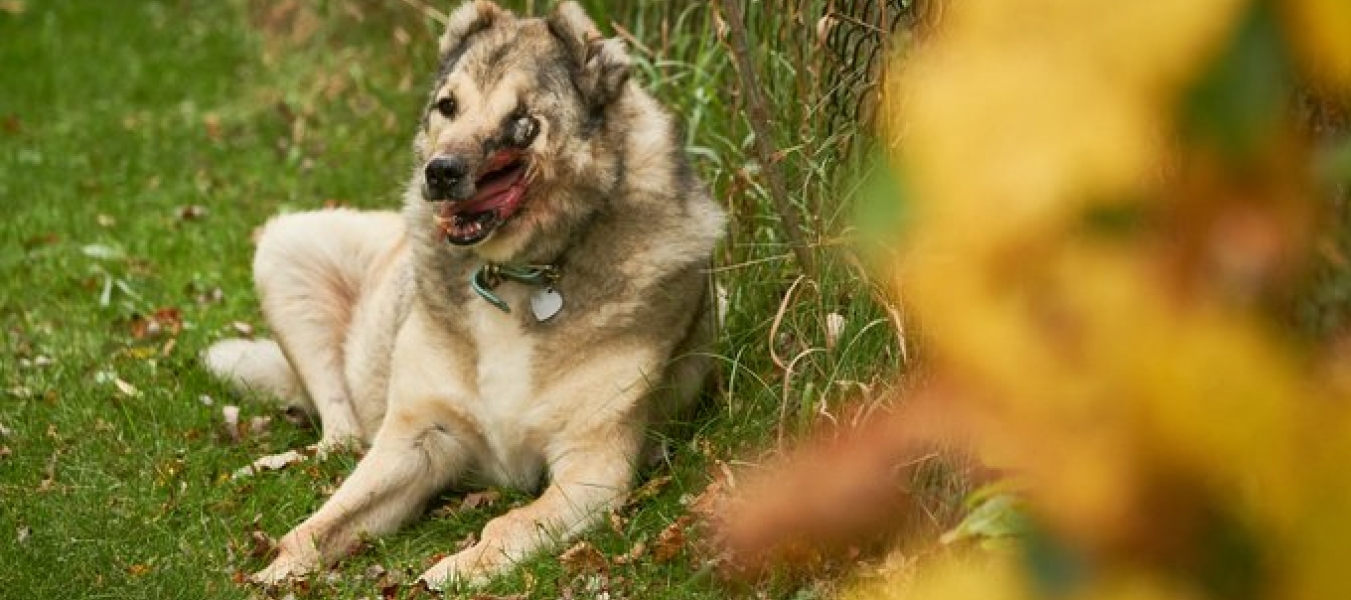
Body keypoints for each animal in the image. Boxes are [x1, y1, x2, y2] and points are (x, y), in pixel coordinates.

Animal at [201, 0, 724, 589]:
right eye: (447, 106)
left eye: (520, 119)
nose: (440, 173)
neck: (514, 275)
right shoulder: (417, 439)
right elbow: (319, 526)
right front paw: (276, 572)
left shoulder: (594, 468)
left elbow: (509, 526)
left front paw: (452, 570)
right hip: (285, 246)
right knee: (341, 438)